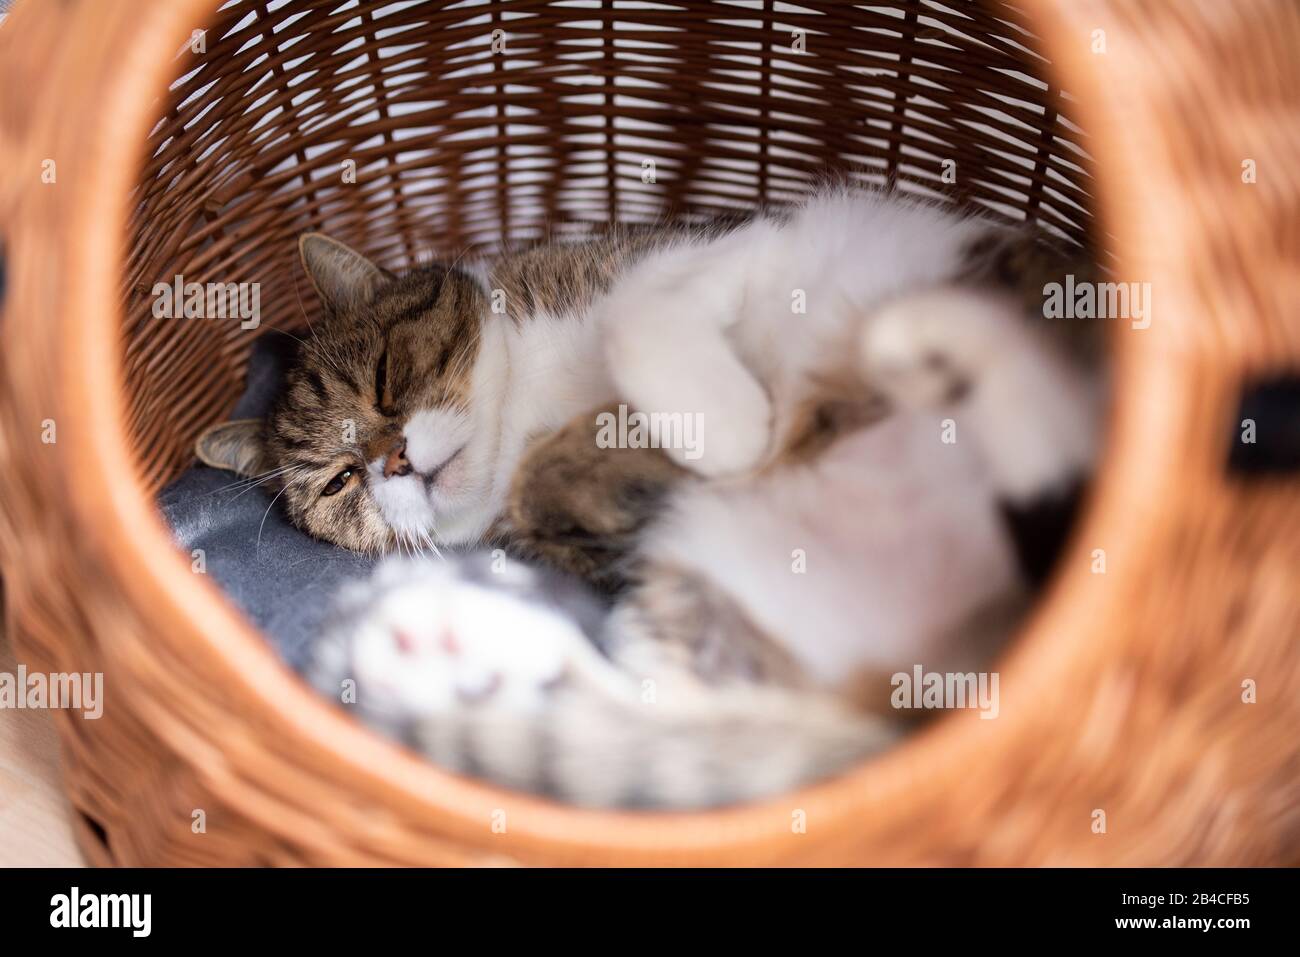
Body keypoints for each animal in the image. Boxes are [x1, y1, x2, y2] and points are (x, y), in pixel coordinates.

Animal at [197, 187, 1102, 806]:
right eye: (339, 480)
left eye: (387, 378)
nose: (391, 463)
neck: (524, 406)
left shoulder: (720, 248)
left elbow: (635, 316)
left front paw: (723, 425)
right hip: (705, 588)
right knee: (670, 744)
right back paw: (453, 645)